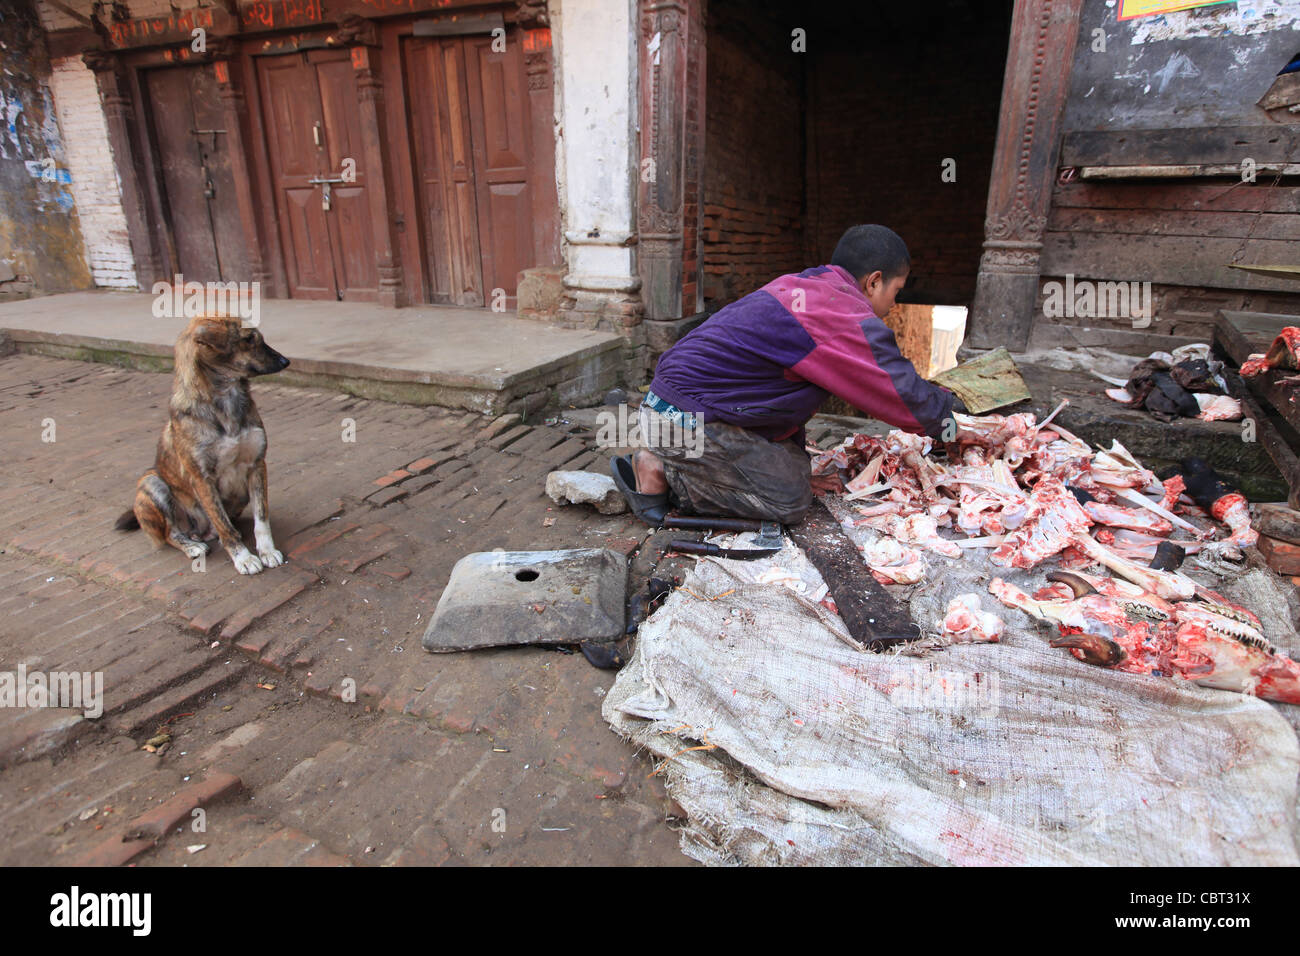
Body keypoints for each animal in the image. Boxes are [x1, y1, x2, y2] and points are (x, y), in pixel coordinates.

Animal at [115, 317, 291, 574]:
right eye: (249, 339)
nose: (286, 361)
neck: (226, 397)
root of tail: (199, 532)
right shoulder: (202, 479)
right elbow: (225, 527)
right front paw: (243, 558)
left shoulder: (257, 464)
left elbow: (261, 517)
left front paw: (267, 551)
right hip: (151, 483)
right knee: (170, 533)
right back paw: (192, 546)